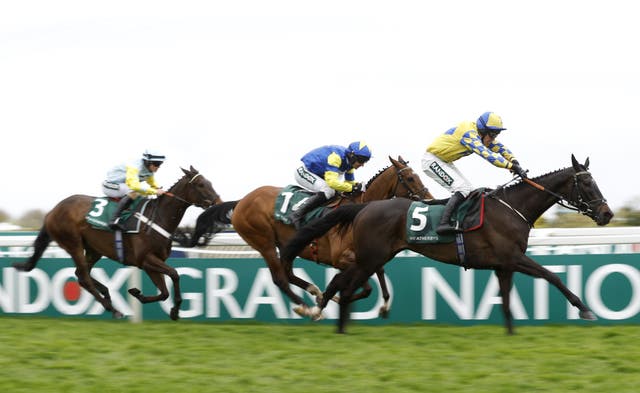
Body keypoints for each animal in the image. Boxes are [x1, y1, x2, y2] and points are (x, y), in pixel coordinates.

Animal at [12, 167, 221, 320]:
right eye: (201, 184)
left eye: (210, 182)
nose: (219, 201)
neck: (157, 218)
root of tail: (52, 211)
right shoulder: (146, 259)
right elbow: (175, 274)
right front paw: (175, 310)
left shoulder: (152, 263)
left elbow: (164, 292)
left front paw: (139, 294)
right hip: (73, 244)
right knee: (84, 277)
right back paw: (113, 309)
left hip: (93, 249)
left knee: (81, 275)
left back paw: (107, 295)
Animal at [178, 155, 432, 316]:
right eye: (411, 178)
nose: (429, 199)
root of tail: (242, 201)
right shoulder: (342, 258)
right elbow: (367, 285)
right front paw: (331, 299)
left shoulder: (368, 253)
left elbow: (378, 274)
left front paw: (382, 304)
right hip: (264, 242)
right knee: (280, 278)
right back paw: (305, 306)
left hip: (286, 245)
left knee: (288, 273)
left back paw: (313, 292)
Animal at [284, 155, 616, 332]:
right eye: (587, 183)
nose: (607, 214)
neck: (511, 208)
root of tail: (365, 207)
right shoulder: (513, 258)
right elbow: (552, 276)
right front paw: (584, 309)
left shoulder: (504, 265)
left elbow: (508, 300)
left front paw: (511, 333)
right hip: (371, 257)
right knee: (344, 284)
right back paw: (330, 318)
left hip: (375, 257)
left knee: (341, 282)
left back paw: (325, 312)